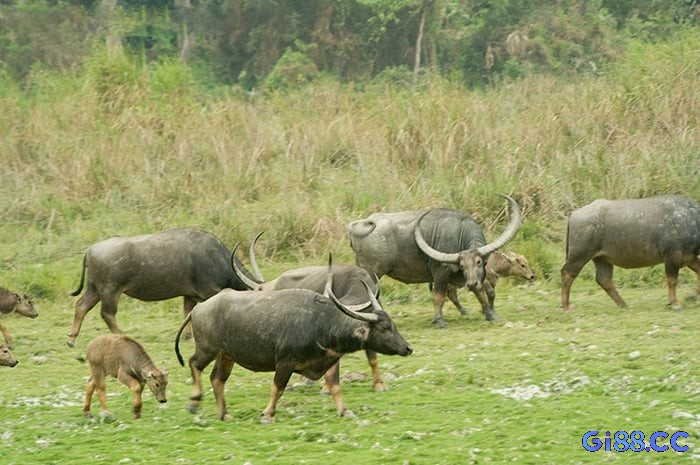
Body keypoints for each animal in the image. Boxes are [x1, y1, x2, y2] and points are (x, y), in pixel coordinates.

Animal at [67, 227, 254, 346]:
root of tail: (91, 250)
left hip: (94, 288)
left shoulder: (189, 295)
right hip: (110, 290)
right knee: (107, 313)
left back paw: (71, 339)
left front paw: (187, 336)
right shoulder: (210, 291)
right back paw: (120, 336)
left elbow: (188, 312)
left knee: (81, 305)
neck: (216, 258)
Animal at [175, 276, 412, 424]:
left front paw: (345, 411)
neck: (322, 324)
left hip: (226, 356)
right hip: (207, 349)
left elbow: (335, 387)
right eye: (384, 327)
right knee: (194, 364)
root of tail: (199, 308)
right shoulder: (284, 363)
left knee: (217, 379)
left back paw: (224, 414)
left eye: (393, 324)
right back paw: (194, 402)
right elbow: (277, 388)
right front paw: (268, 414)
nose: (408, 348)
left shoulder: (330, 361)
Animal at [346, 194, 520, 328]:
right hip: (372, 272)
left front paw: (490, 315)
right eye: (462, 265)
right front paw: (439, 321)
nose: (470, 284)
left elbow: (483, 293)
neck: (460, 234)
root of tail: (359, 224)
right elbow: (439, 296)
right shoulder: (440, 273)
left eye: (479, 262)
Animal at [560, 194, 700, 310]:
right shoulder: (672, 256)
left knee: (604, 279)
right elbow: (672, 280)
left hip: (602, 259)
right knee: (567, 273)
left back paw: (623, 304)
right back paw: (566, 306)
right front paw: (675, 303)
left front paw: (692, 296)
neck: (690, 220)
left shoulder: (689, 257)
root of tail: (574, 214)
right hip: (579, 255)